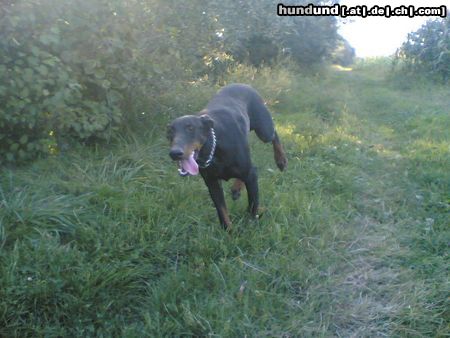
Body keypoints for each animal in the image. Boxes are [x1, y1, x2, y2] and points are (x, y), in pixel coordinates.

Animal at [167, 83, 286, 230]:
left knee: (274, 133)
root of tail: (244, 84)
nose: (174, 153)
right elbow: (221, 211)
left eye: (191, 128)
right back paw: (236, 188)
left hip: (264, 130)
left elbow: (253, 205)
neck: (215, 151)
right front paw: (228, 231)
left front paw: (251, 223)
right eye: (170, 132)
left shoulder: (251, 176)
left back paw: (281, 160)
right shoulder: (212, 183)